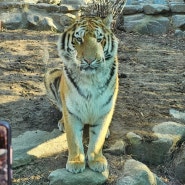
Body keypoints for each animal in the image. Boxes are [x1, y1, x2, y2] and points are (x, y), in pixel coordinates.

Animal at [45, 14, 119, 173]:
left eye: (99, 39)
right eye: (79, 39)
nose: (90, 60)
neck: (90, 78)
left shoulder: (105, 109)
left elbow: (98, 139)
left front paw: (97, 160)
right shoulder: (72, 111)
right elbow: (73, 139)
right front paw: (75, 162)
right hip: (51, 73)